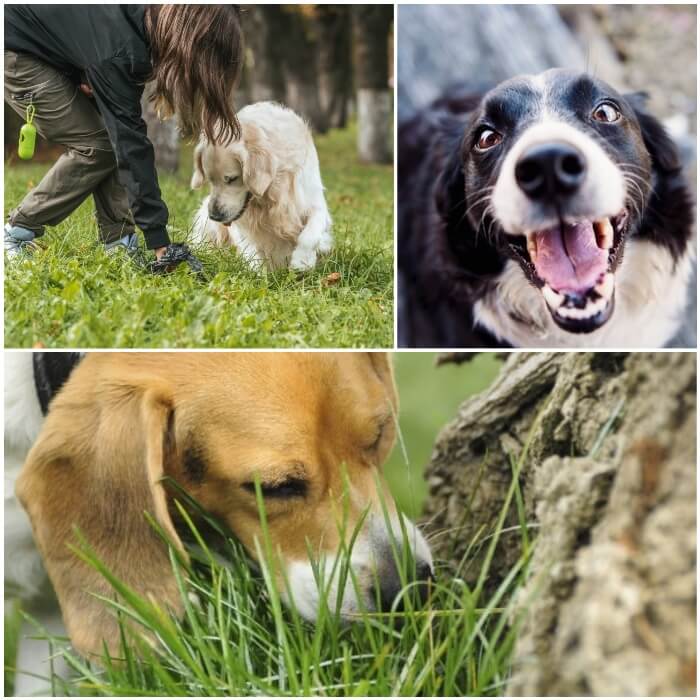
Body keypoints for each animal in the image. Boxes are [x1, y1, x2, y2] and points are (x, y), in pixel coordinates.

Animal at [191, 101, 334, 270]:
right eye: (210, 180)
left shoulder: (314, 201)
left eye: (232, 179)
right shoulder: (242, 223)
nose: (214, 216)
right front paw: (257, 273)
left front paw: (302, 261)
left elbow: (310, 235)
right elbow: (251, 250)